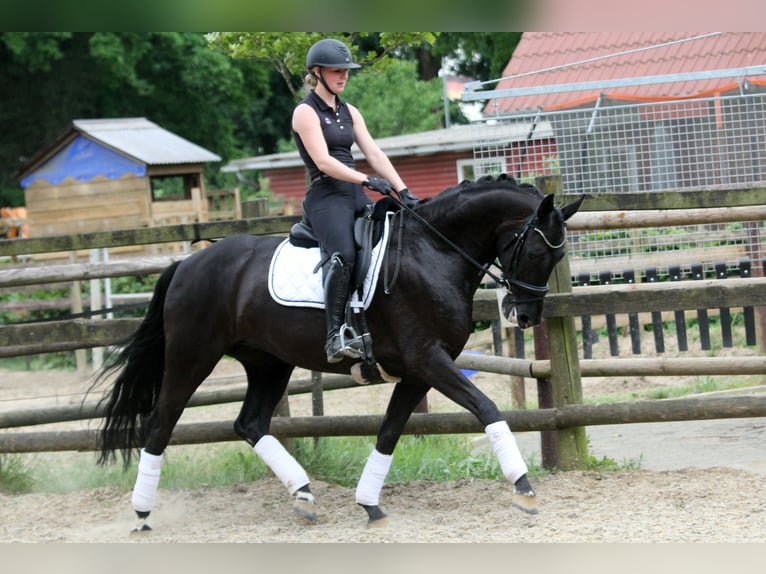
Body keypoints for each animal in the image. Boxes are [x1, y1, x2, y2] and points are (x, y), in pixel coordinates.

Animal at [99, 174, 584, 532]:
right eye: (537, 249)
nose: (526, 315)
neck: (433, 251)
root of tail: (187, 263)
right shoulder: (429, 360)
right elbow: (487, 408)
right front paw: (523, 488)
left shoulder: (417, 371)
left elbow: (389, 433)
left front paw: (370, 504)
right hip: (192, 357)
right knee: (160, 424)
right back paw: (141, 514)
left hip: (269, 363)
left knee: (249, 423)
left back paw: (304, 495)